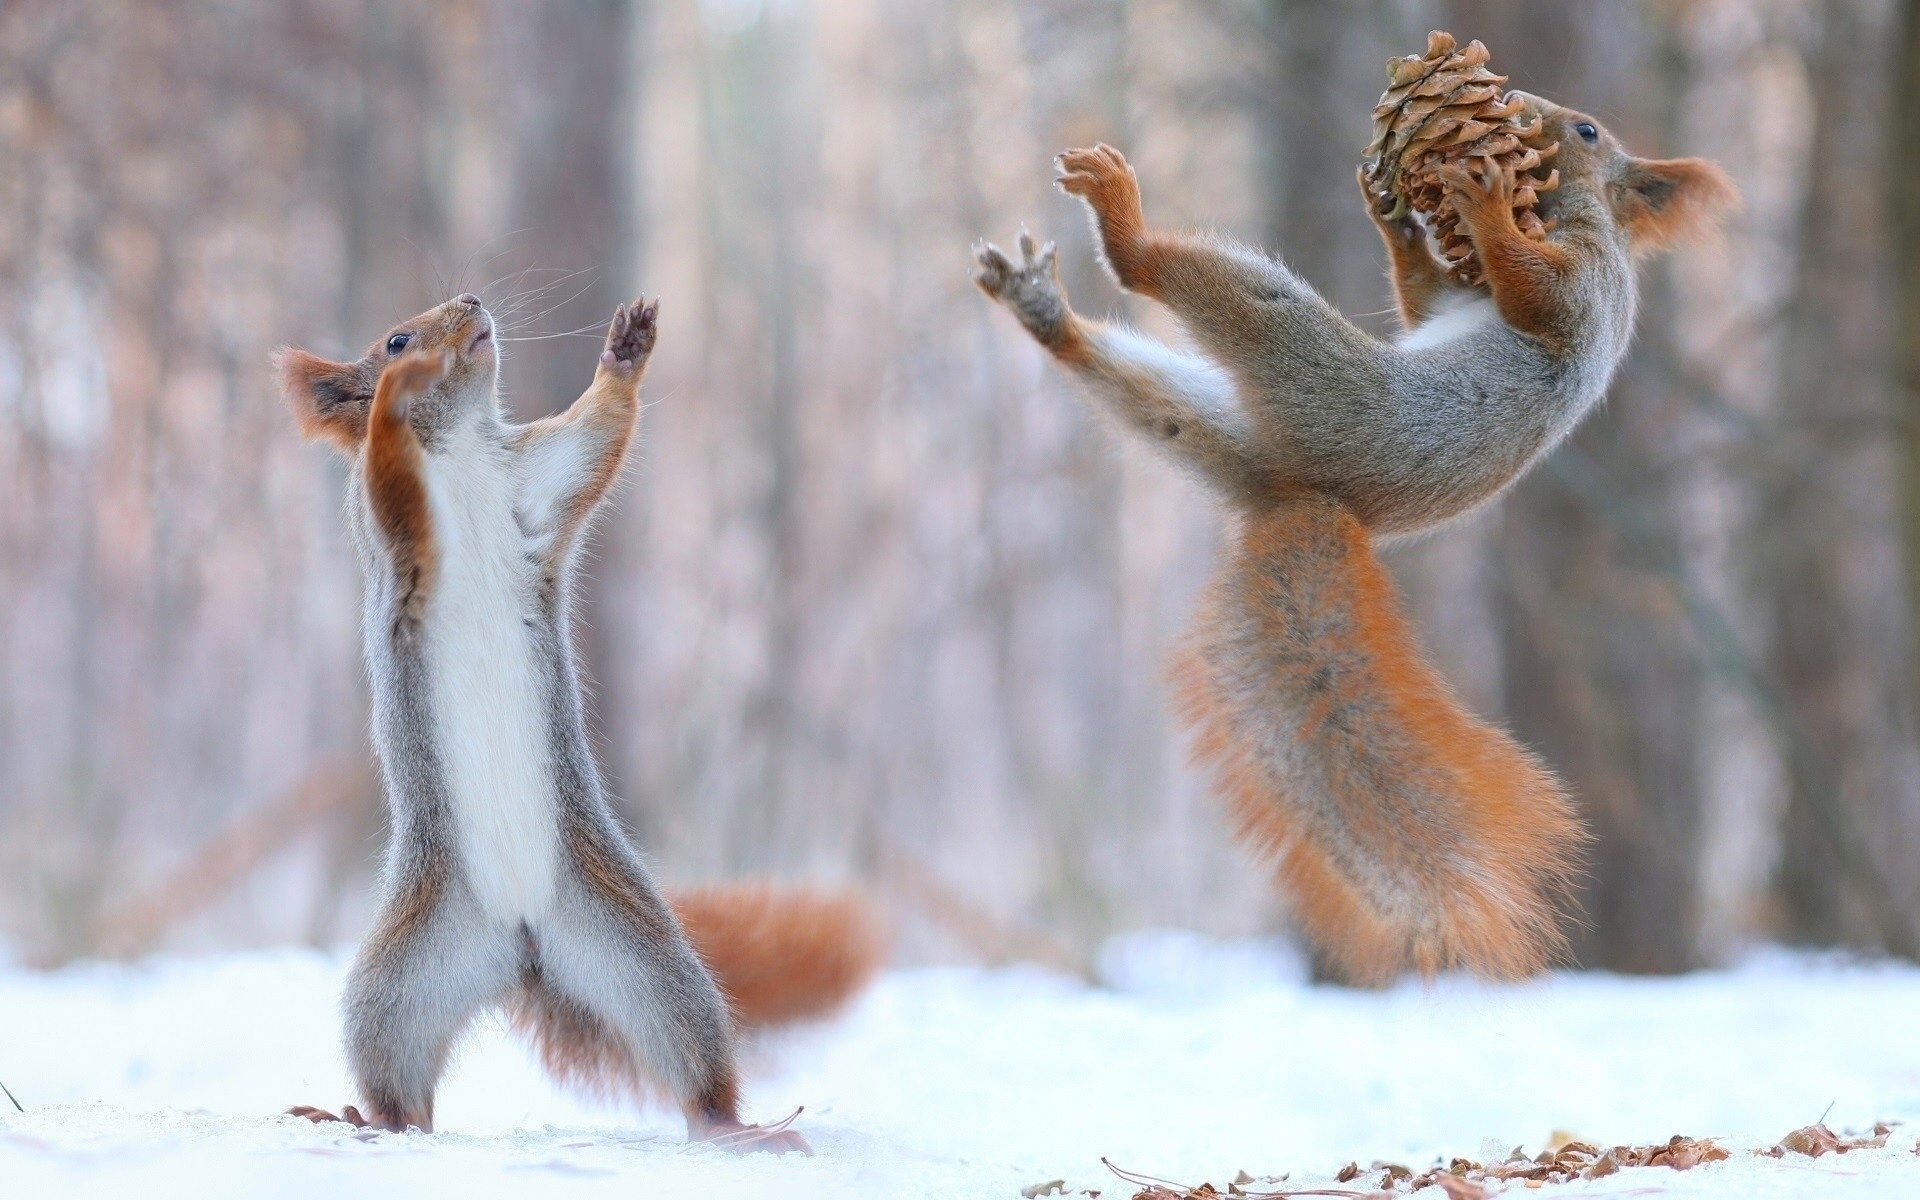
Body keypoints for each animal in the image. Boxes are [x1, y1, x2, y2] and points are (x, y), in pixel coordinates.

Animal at [272, 295, 883, 1144]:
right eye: (394, 339)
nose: (472, 304)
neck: (459, 448)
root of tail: (522, 945)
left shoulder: (537, 480)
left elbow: (595, 438)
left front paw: (626, 350)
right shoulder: (388, 523)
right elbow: (390, 472)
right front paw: (396, 396)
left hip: (641, 955)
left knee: (691, 1057)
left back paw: (738, 1128)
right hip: (397, 982)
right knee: (401, 1087)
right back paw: (363, 1118)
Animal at [975, 96, 1743, 983]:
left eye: (1586, 133)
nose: (1524, 111)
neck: (1566, 213)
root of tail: (1307, 496)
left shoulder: (1586, 286)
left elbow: (1534, 293)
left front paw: (1482, 205)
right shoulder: (1454, 301)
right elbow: (1424, 302)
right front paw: (1398, 219)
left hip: (1304, 359)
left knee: (1171, 279)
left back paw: (1121, 223)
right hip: (1205, 420)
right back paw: (1045, 312)